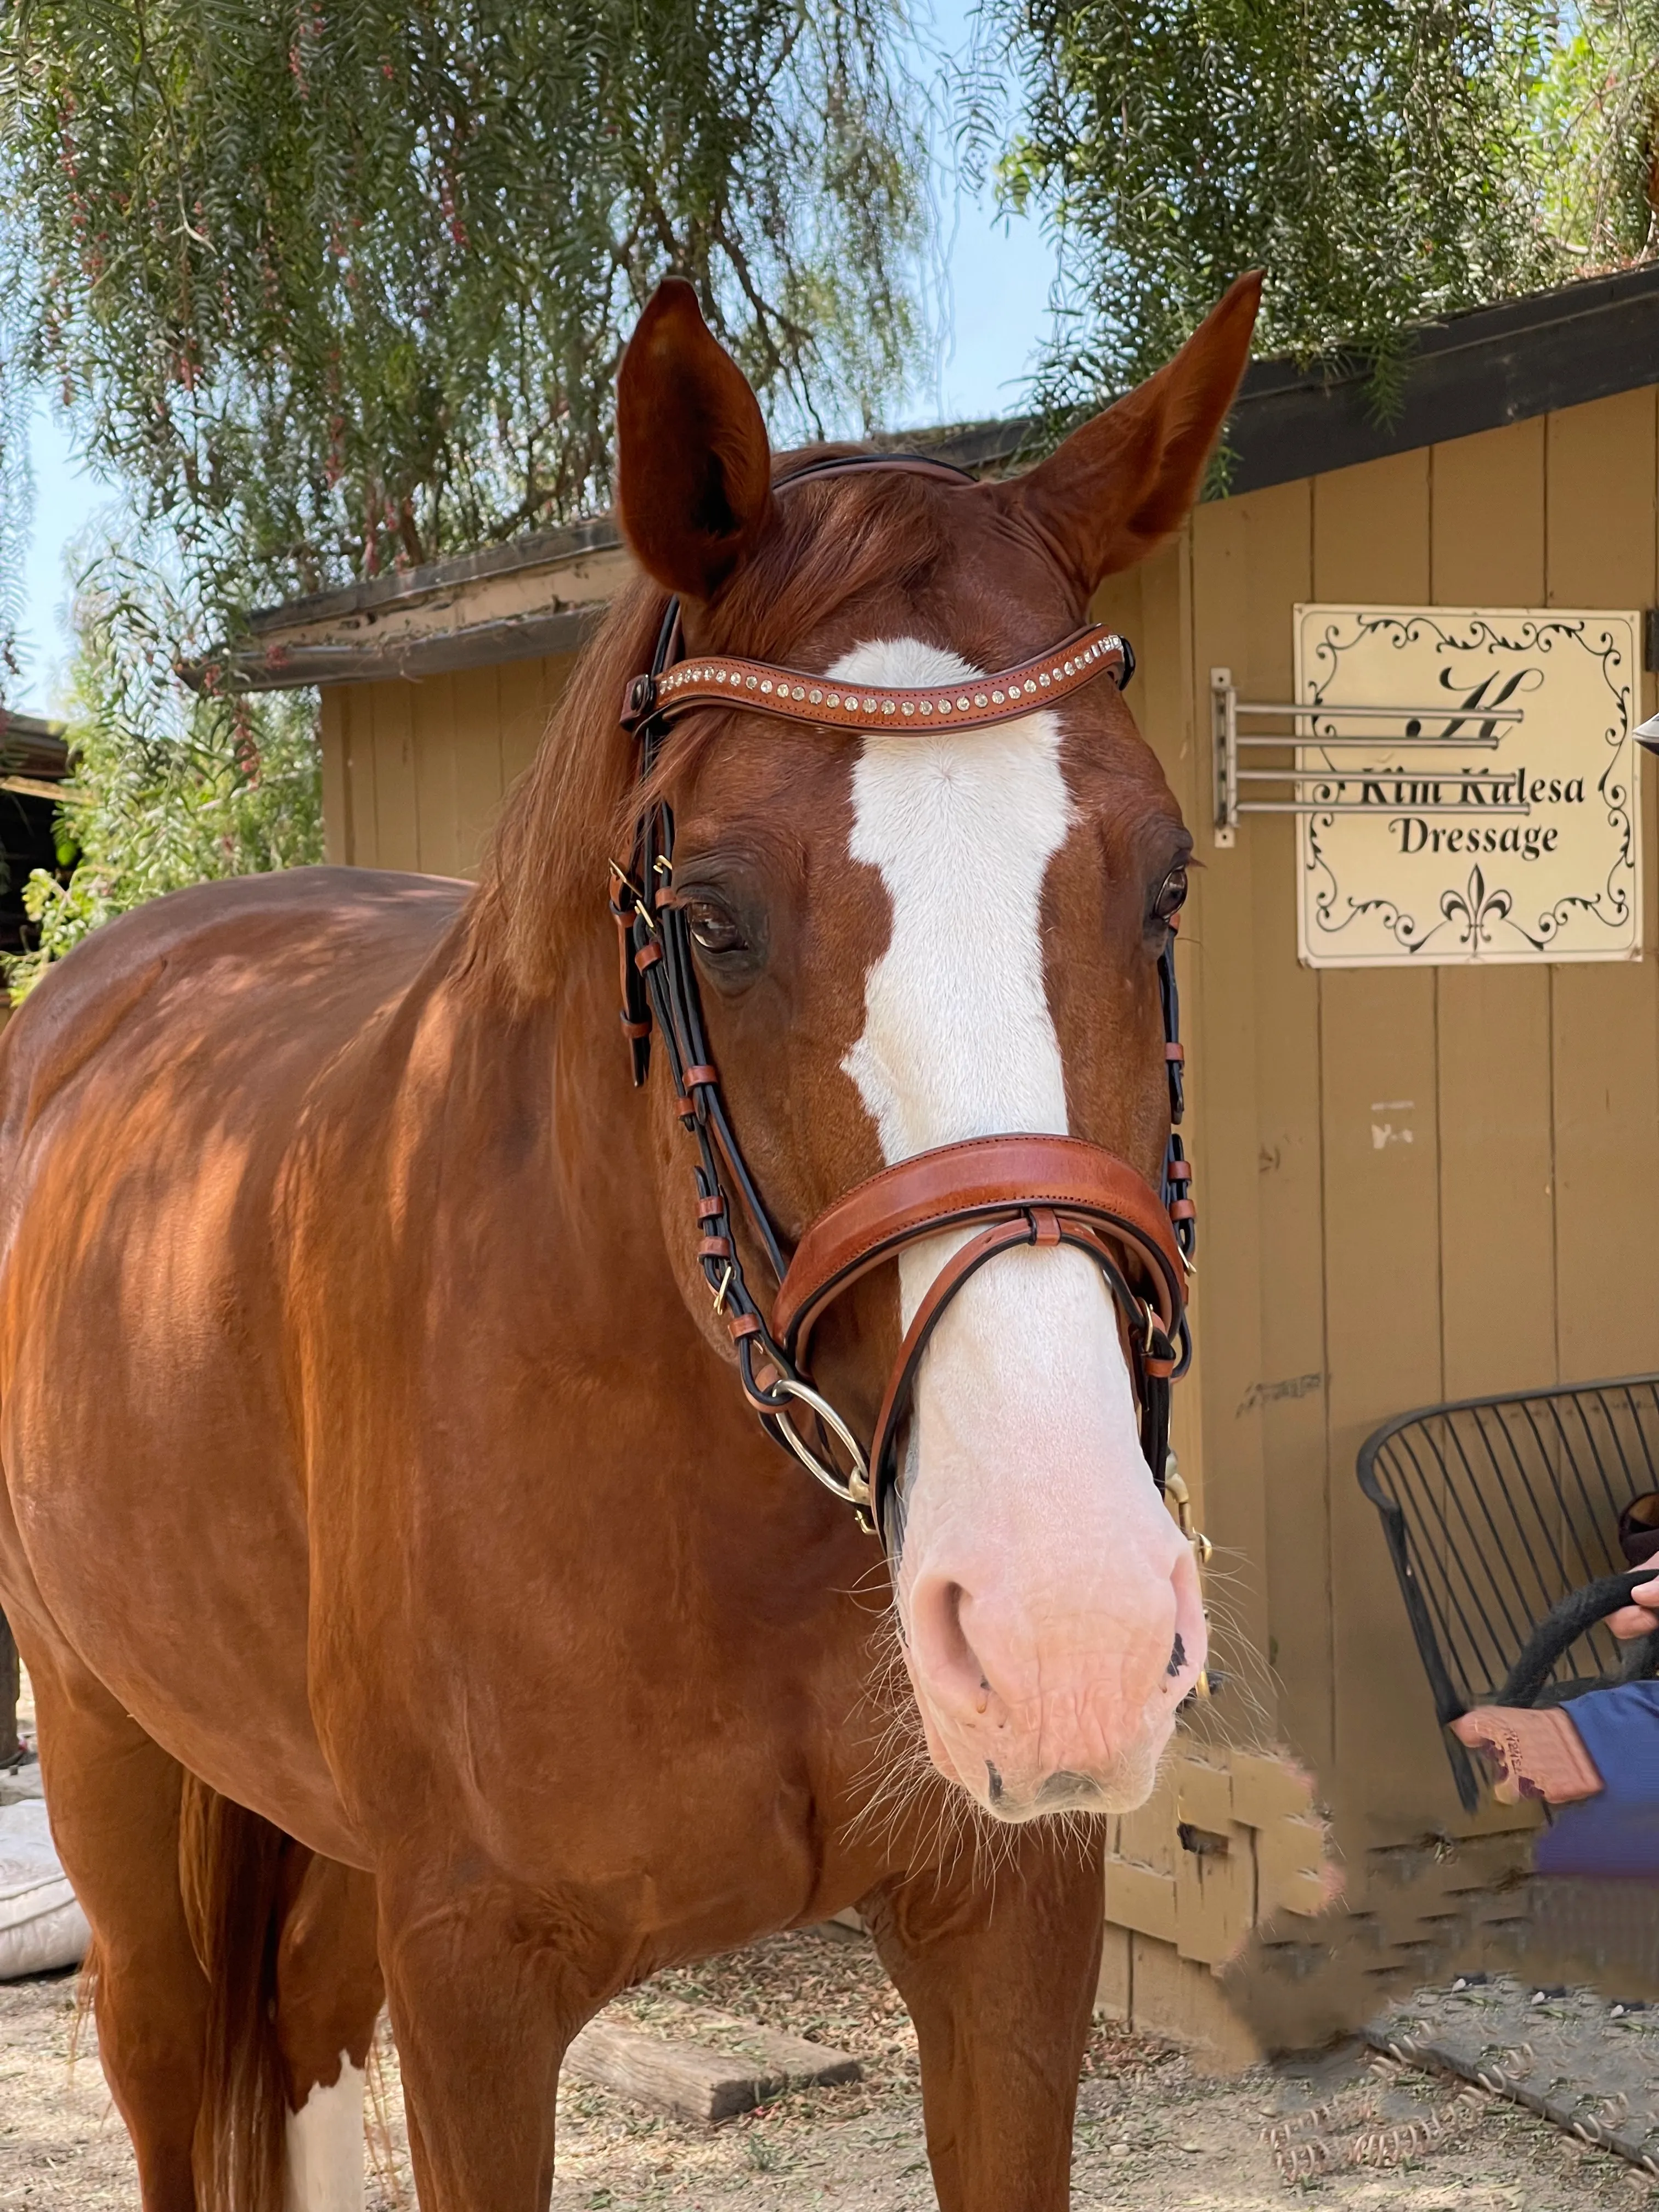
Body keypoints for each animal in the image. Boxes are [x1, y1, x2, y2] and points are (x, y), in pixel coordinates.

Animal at [0, 276, 1256, 2212]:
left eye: (1166, 878)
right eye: (713, 914)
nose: (1072, 1627)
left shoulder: (1008, 1923)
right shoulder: (477, 1991)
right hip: (104, 1746)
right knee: (163, 2046)